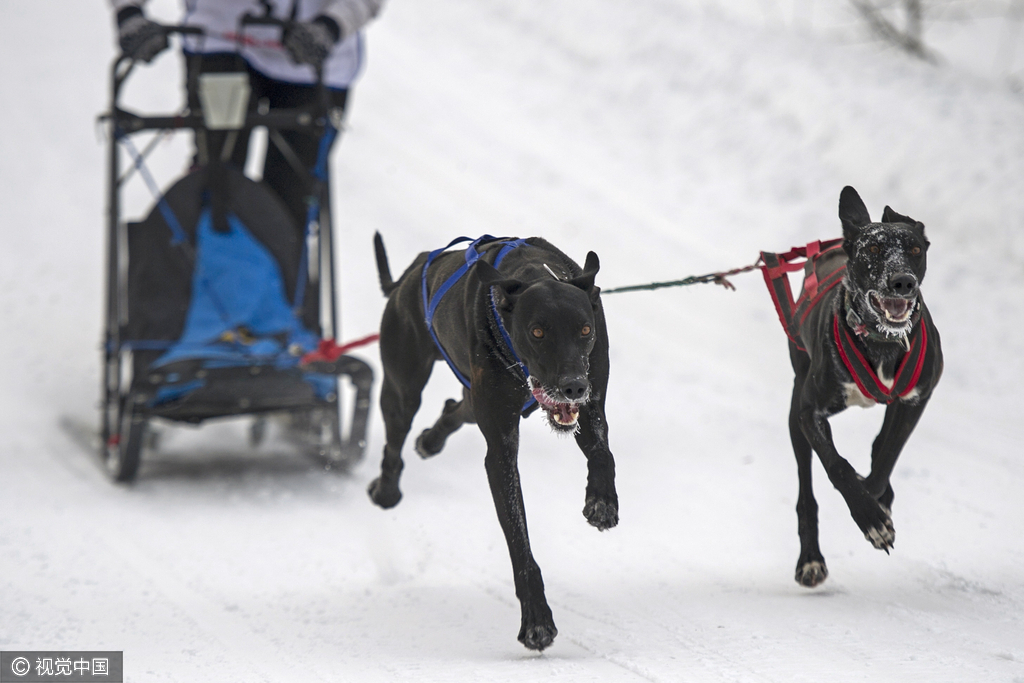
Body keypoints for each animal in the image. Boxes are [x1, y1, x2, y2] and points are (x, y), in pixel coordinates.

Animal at [372, 233, 618, 651]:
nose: (572, 385)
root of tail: (411, 271)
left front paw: (601, 502)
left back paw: (431, 440)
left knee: (459, 408)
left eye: (585, 330)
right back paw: (387, 488)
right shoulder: (501, 452)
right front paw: (537, 619)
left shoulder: (591, 401)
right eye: (537, 332)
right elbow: (519, 539)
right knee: (395, 439)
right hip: (402, 384)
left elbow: (603, 453)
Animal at [761, 185, 942, 589]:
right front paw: (871, 519)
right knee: (807, 492)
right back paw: (810, 560)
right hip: (796, 412)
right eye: (872, 249)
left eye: (915, 249)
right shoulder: (809, 412)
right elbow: (838, 467)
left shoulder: (915, 400)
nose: (902, 281)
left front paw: (877, 500)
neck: (881, 340)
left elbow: (886, 458)